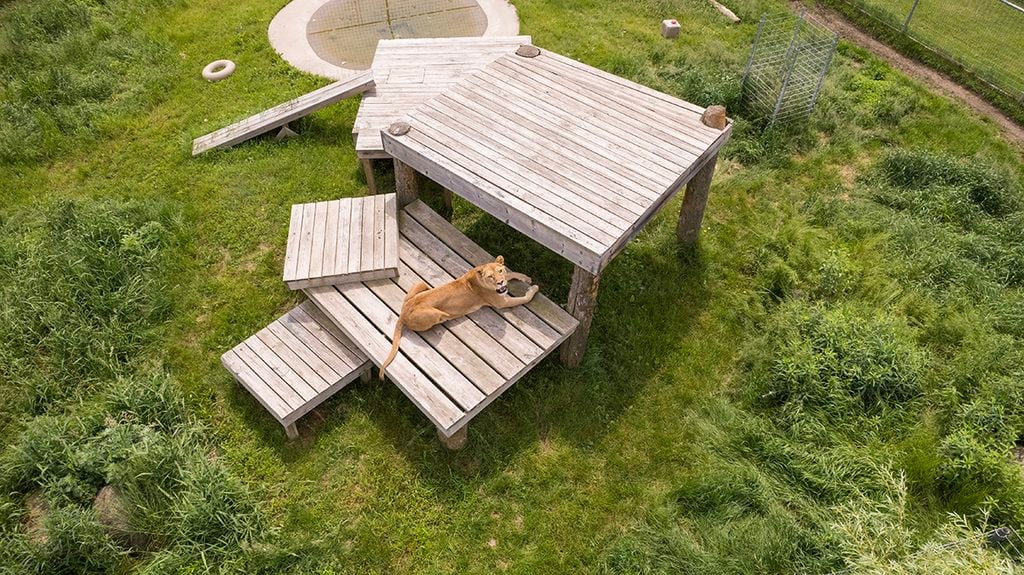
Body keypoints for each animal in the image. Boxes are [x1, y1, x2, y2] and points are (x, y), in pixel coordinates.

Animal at [379, 256, 538, 377]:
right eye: (491, 277)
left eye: (500, 271)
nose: (500, 282)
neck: (479, 278)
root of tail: (403, 314)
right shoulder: (501, 302)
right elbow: (525, 298)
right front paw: (534, 288)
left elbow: (511, 274)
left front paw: (526, 278)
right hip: (435, 313)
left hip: (420, 284)